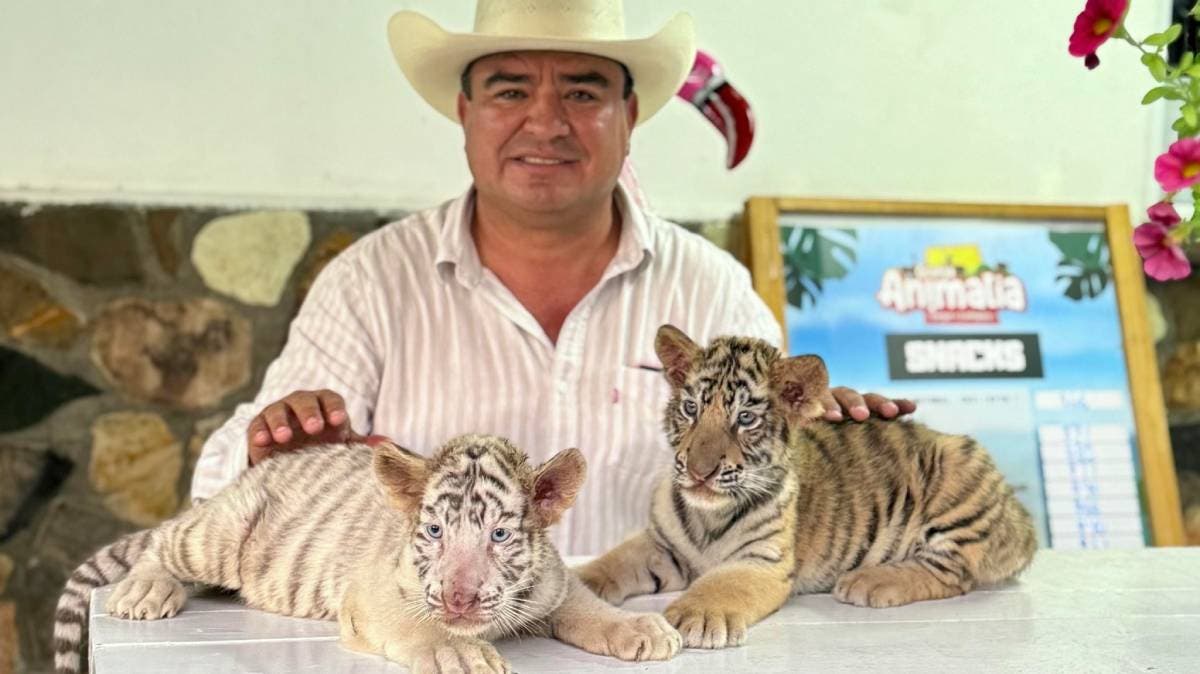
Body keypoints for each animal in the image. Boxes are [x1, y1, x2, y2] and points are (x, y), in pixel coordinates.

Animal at [53, 433, 681, 674]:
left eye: (499, 537)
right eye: (434, 531)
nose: (459, 598)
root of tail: (240, 482)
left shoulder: (552, 583)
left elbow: (586, 604)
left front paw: (639, 629)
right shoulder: (373, 593)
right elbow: (417, 622)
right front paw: (459, 652)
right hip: (218, 533)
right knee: (162, 543)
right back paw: (145, 590)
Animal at [577, 324, 1037, 649]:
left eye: (745, 419)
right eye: (691, 409)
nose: (699, 471)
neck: (709, 512)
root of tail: (1021, 520)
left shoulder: (762, 561)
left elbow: (722, 584)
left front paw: (697, 616)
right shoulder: (662, 547)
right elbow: (614, 561)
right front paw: (578, 582)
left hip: (959, 470)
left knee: (953, 573)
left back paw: (870, 581)